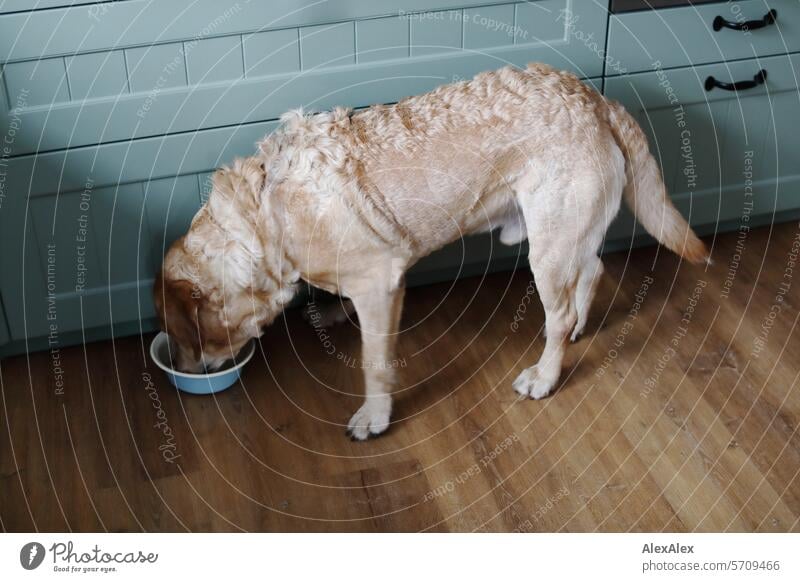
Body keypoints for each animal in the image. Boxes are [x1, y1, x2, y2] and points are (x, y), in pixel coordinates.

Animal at [153, 64, 708, 440]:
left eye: (184, 333)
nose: (179, 366)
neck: (265, 214)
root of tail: (595, 96)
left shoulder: (379, 284)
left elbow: (374, 362)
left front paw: (374, 417)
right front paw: (330, 311)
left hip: (548, 249)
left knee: (561, 310)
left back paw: (545, 375)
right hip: (563, 232)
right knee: (591, 270)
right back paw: (578, 329)